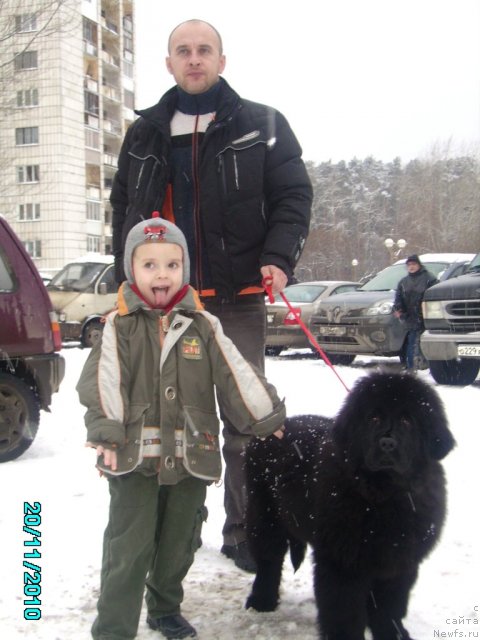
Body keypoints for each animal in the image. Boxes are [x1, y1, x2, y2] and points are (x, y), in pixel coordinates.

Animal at [246, 370, 456, 640]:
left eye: (407, 421)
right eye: (374, 418)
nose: (387, 444)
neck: (383, 495)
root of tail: (268, 433)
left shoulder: (399, 561)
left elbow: (390, 607)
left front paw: (393, 634)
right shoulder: (342, 562)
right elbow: (344, 610)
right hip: (264, 516)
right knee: (268, 562)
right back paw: (261, 601)